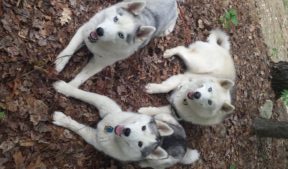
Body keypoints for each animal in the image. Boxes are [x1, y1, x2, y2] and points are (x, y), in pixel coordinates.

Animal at [51, 81, 199, 168]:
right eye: (143, 127)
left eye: (140, 144)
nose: (126, 131)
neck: (110, 130)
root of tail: (184, 145)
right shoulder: (105, 104)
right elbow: (85, 95)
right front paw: (64, 88)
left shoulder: (96, 139)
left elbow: (78, 127)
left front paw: (61, 119)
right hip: (164, 117)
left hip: (158, 162)